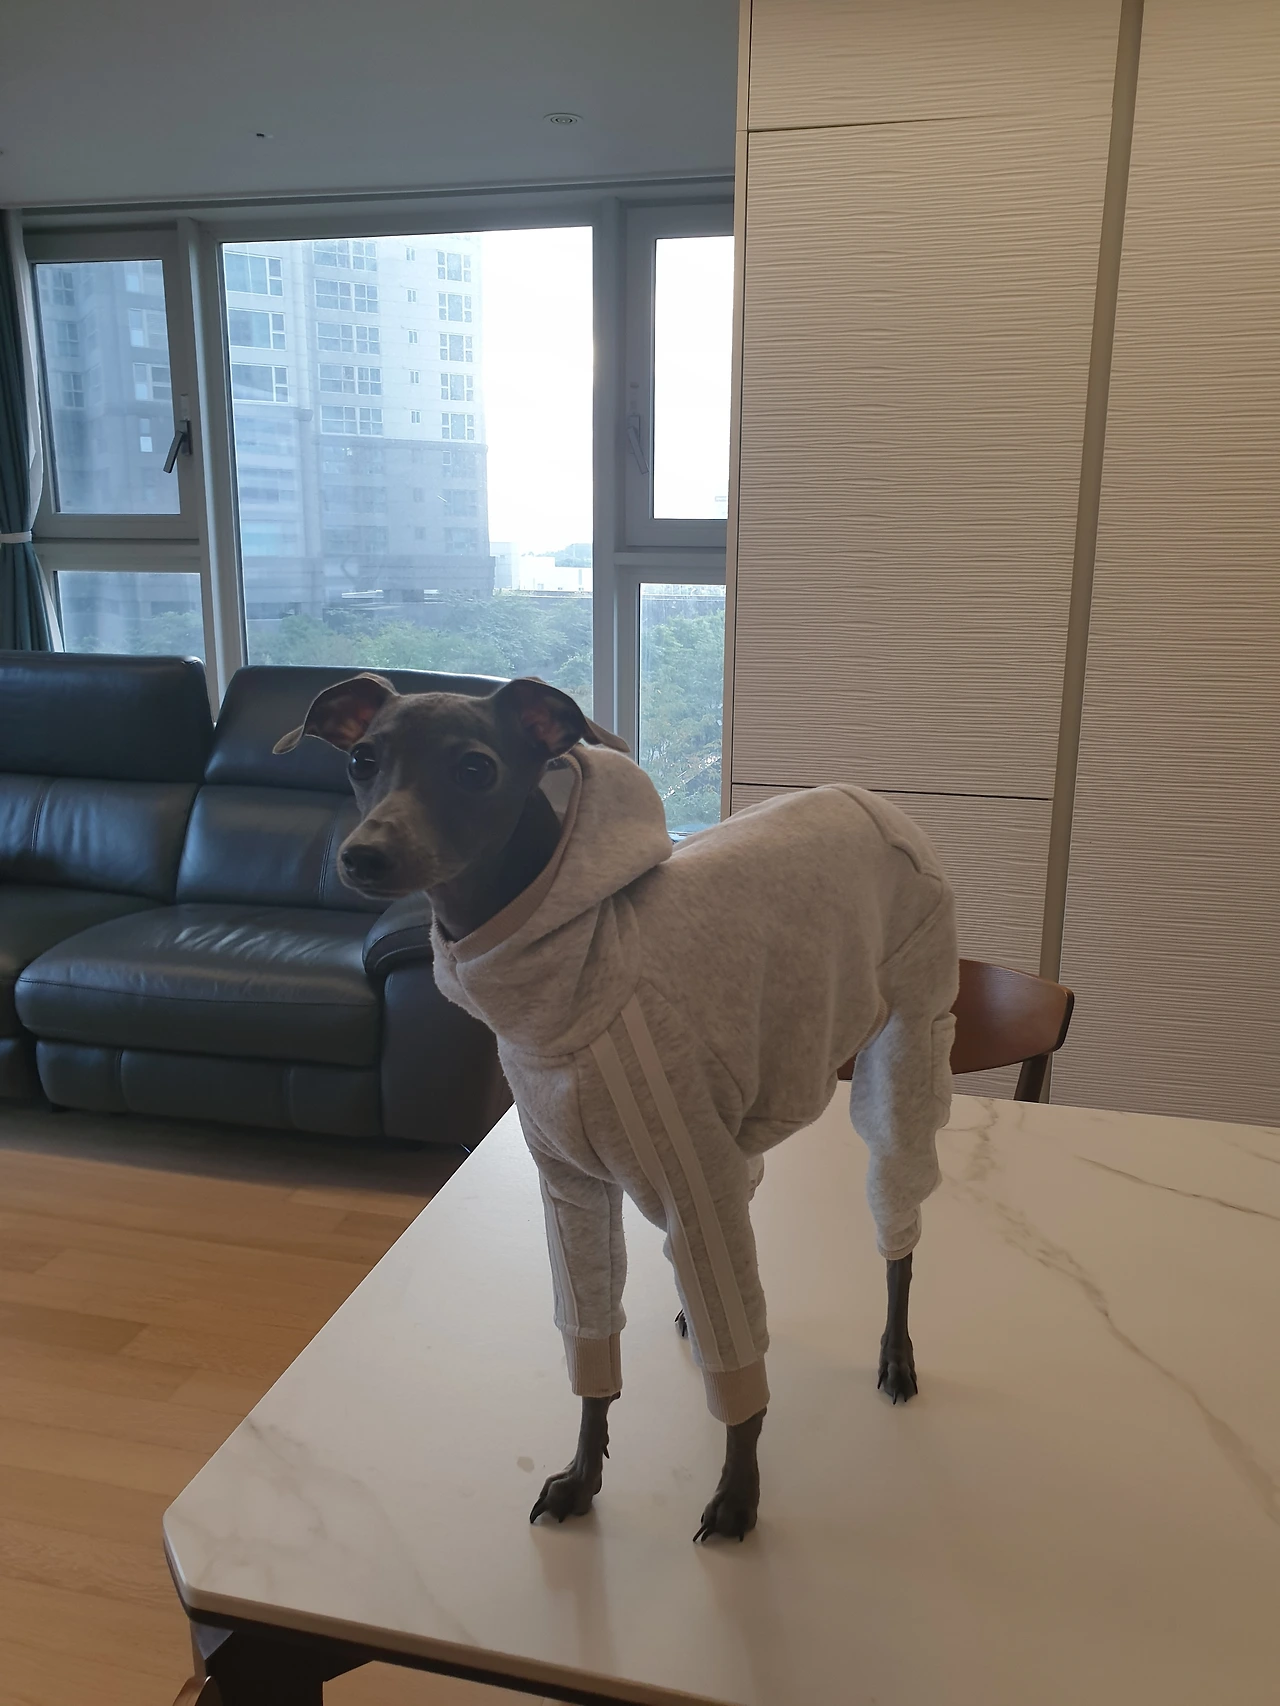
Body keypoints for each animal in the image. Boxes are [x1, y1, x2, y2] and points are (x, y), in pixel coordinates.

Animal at [276, 673, 958, 1542]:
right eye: (362, 759)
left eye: (474, 768)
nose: (363, 854)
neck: (562, 969)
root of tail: (868, 799)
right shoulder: (572, 1190)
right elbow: (591, 1340)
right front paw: (581, 1476)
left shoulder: (690, 1174)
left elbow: (740, 1373)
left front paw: (739, 1494)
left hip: (906, 1049)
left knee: (898, 1229)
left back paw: (895, 1353)